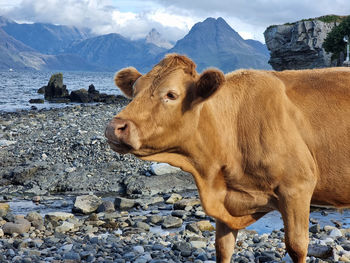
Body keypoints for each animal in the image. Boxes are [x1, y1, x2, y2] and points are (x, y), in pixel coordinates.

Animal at [106, 54, 350, 263]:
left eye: (171, 94)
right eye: (135, 91)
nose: (114, 127)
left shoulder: (297, 187)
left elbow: (297, 246)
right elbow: (223, 248)